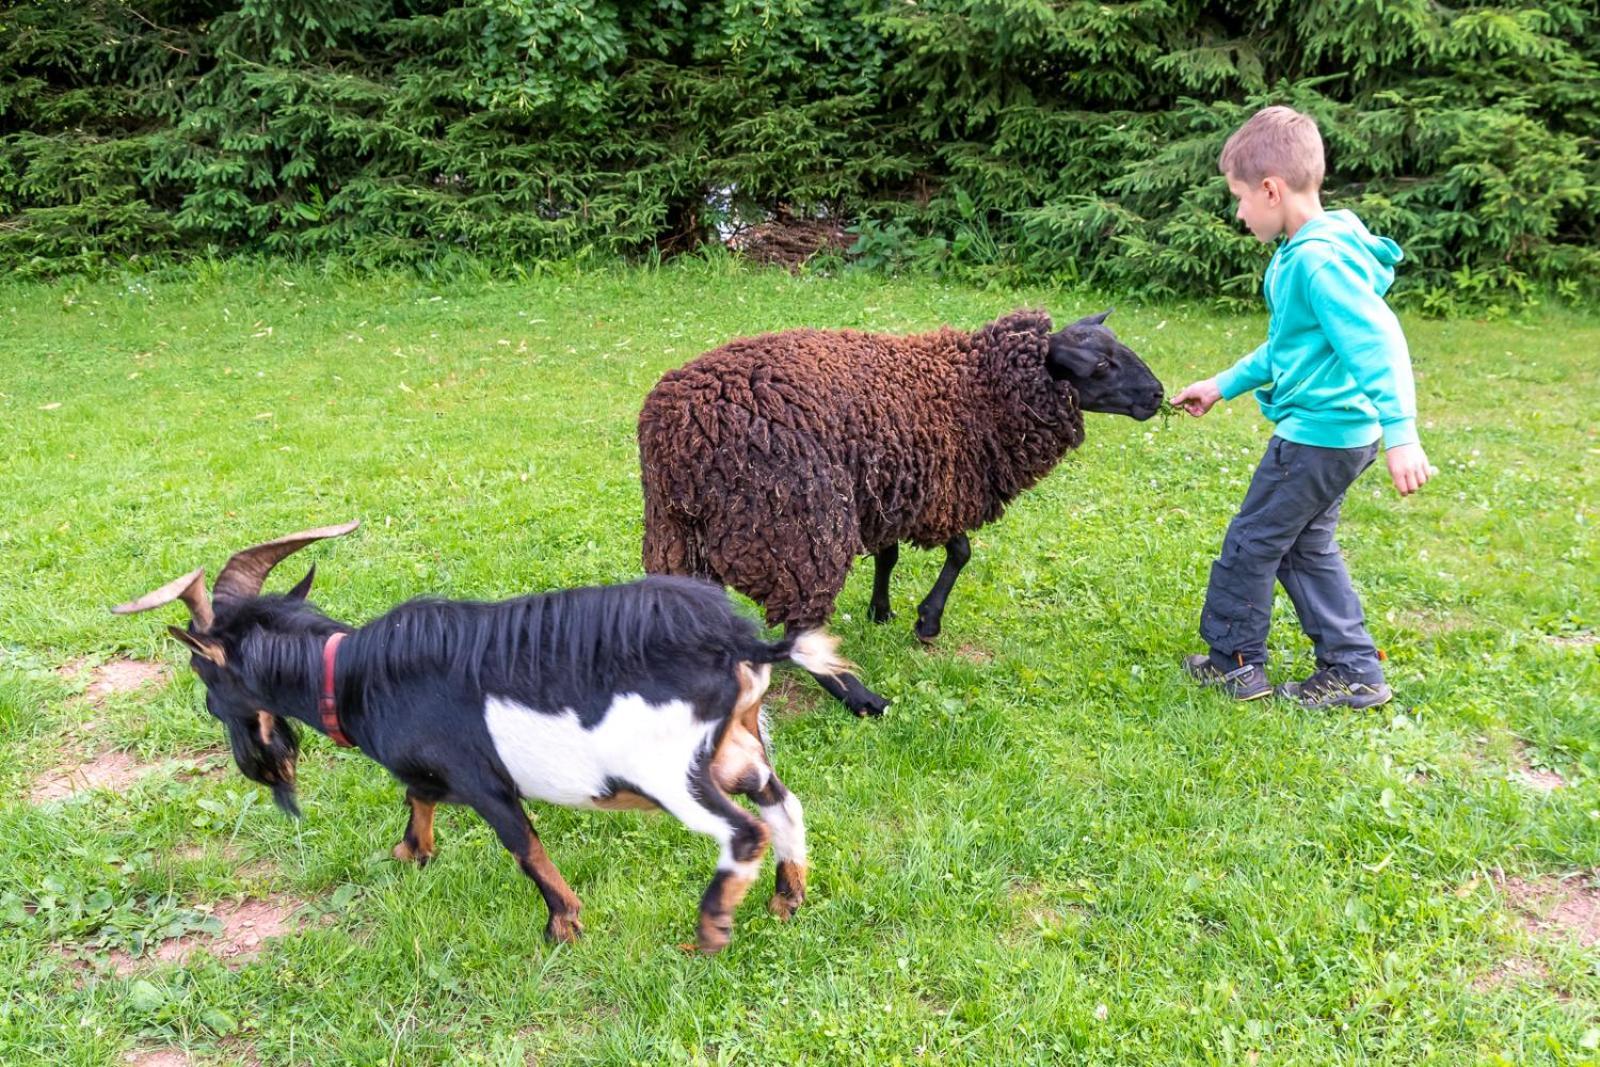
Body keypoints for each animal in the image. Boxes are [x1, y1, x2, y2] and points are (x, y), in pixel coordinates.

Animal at [112, 521, 844, 953]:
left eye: (203, 671)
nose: (251, 757)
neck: (354, 674)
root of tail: (742, 642)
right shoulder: (431, 773)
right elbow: (416, 797)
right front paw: (410, 854)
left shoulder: (485, 782)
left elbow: (524, 847)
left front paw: (562, 925)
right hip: (738, 749)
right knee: (784, 805)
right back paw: (787, 900)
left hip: (673, 771)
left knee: (743, 831)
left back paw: (709, 932)